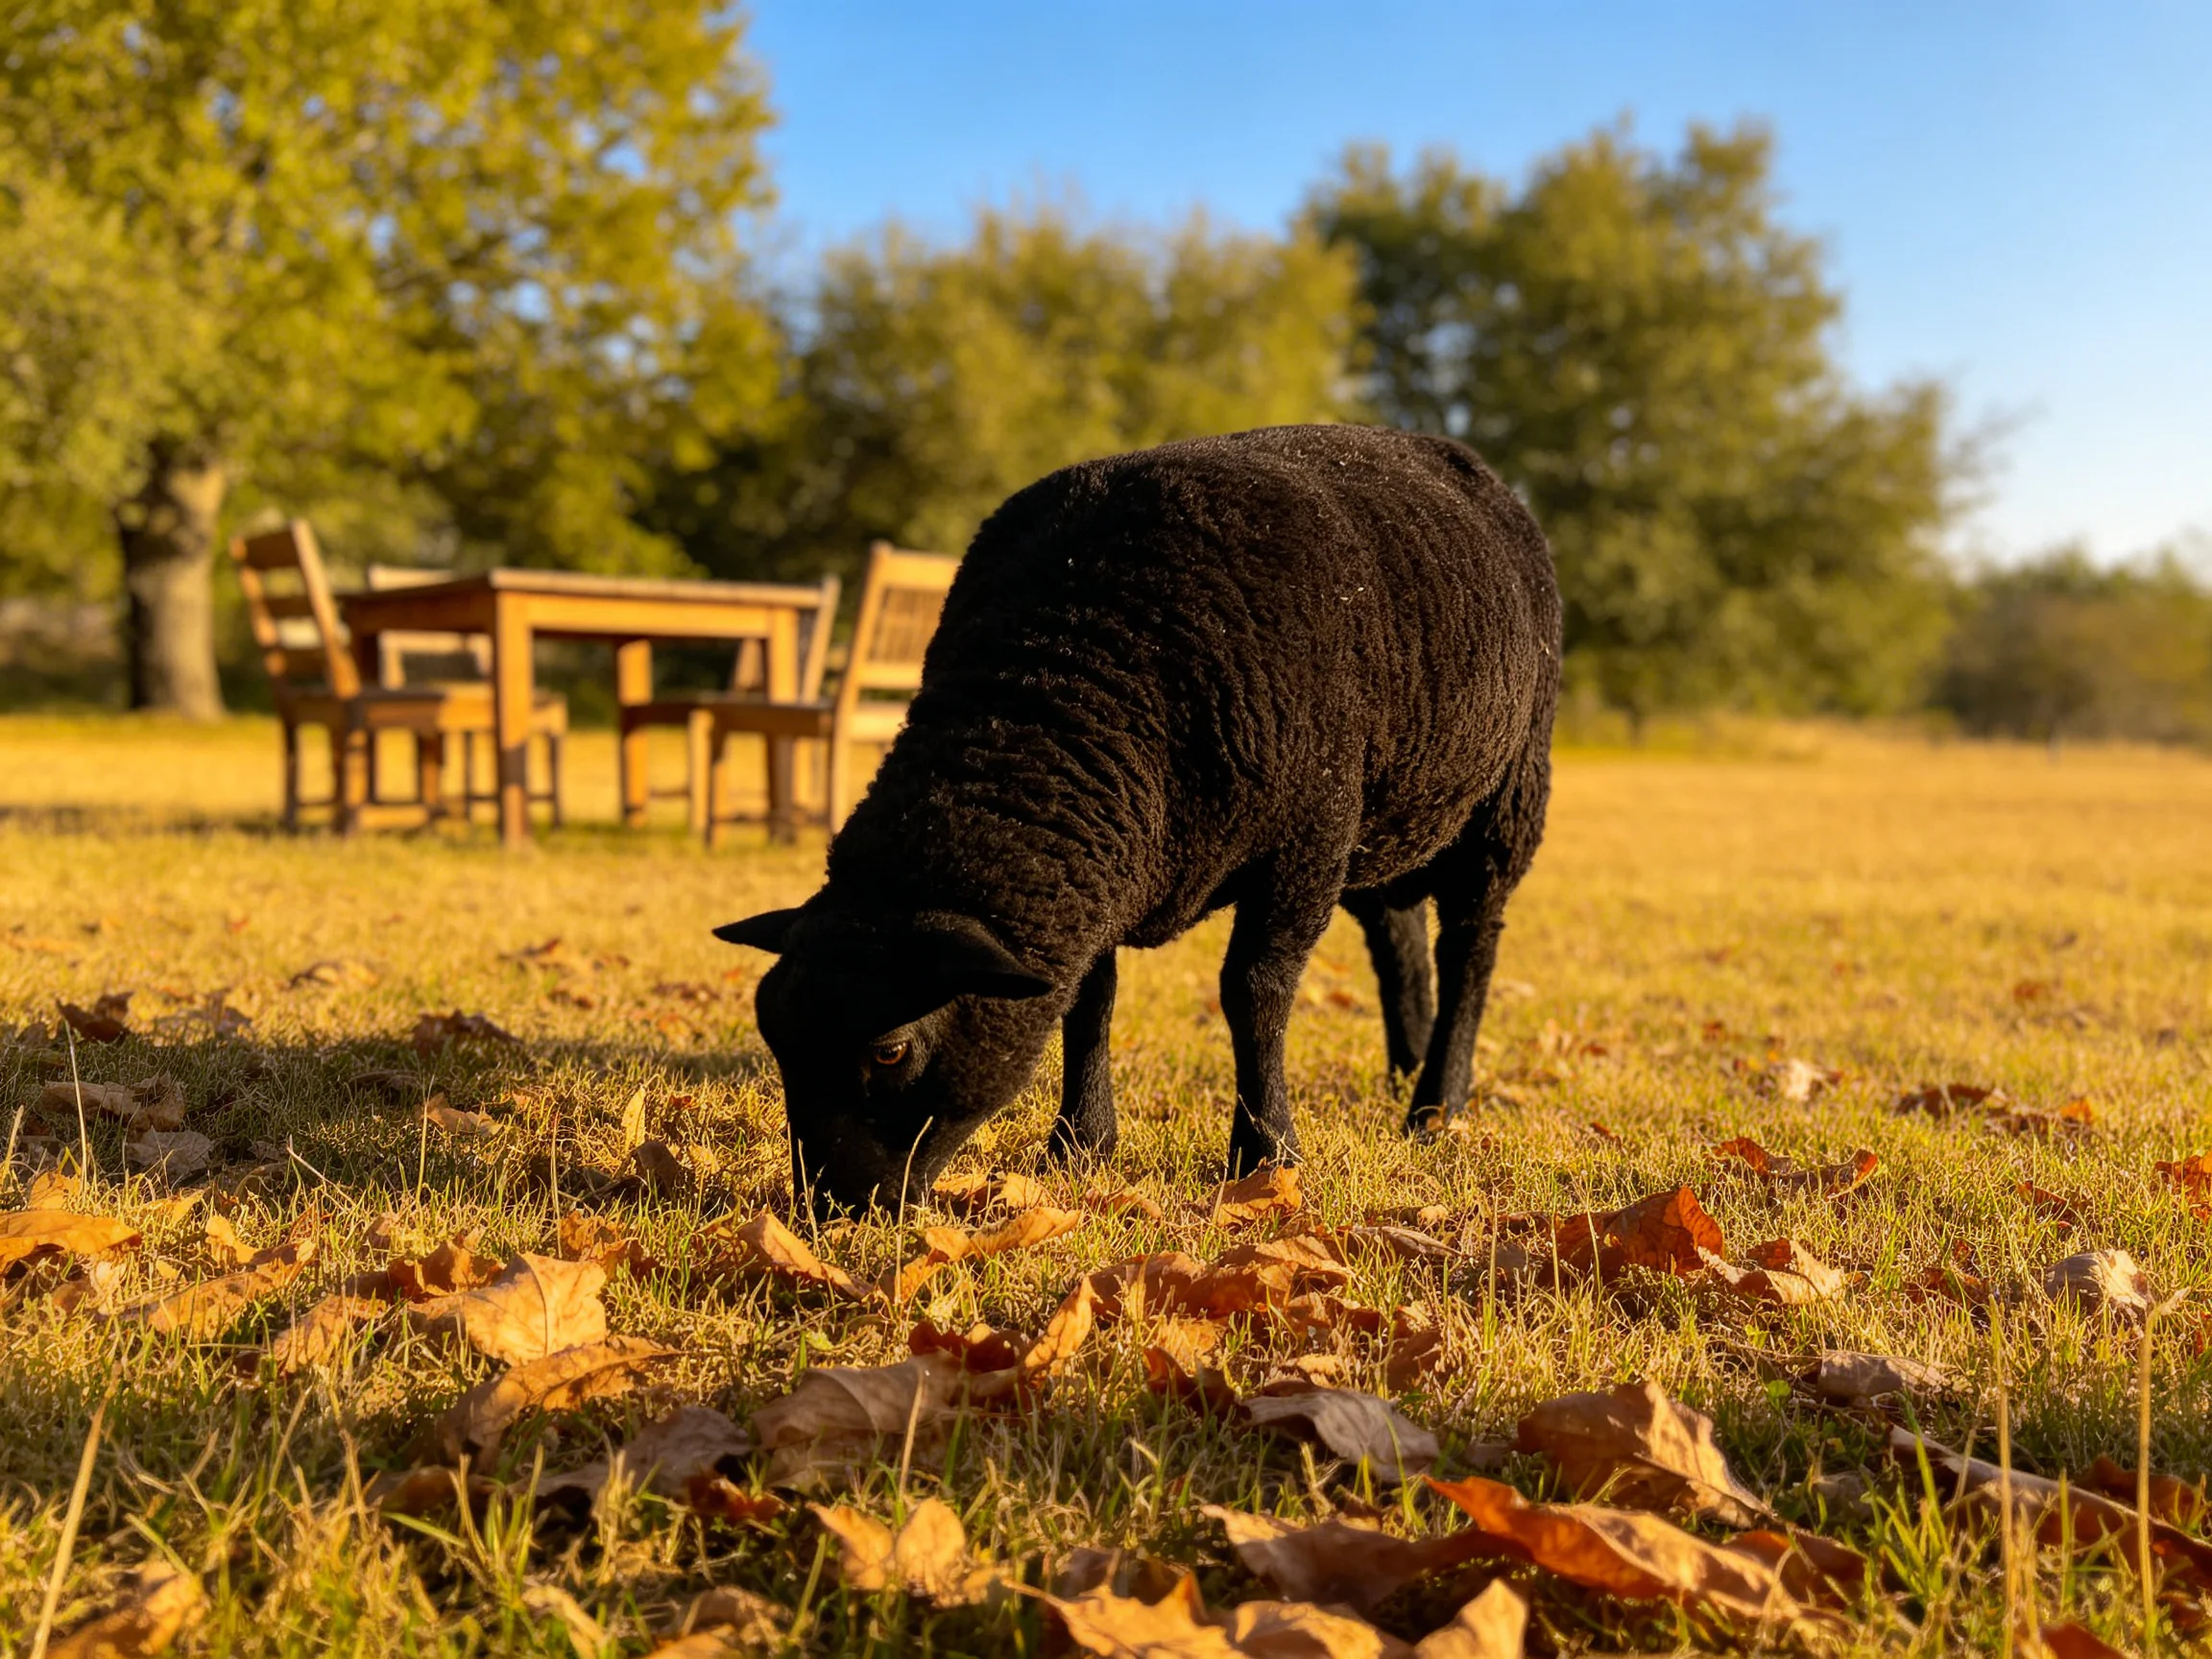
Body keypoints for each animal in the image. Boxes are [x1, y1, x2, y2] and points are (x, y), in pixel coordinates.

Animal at [717, 423, 1559, 1213]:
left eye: (890, 1052)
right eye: (772, 1030)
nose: (831, 1208)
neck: (1064, 675)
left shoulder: (1304, 841)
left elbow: (1253, 992)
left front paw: (1266, 1156)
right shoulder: (1100, 873)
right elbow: (1089, 1001)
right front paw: (1079, 1145)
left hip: (1505, 798)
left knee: (1470, 950)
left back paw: (1436, 1105)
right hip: (1388, 813)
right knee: (1398, 936)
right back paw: (1404, 1067)